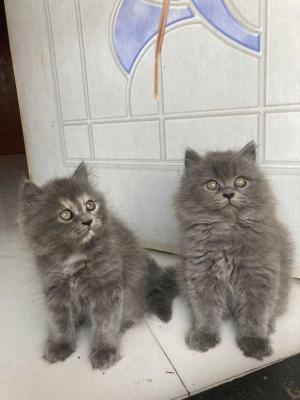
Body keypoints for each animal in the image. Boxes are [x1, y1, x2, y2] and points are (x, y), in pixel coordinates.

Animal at [22, 162, 176, 368]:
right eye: (66, 214)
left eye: (90, 205)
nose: (88, 221)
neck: (75, 254)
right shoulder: (55, 288)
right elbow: (59, 322)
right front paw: (60, 345)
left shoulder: (107, 288)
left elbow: (105, 322)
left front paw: (105, 351)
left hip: (130, 298)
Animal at [175, 142, 292, 360]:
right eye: (212, 185)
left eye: (240, 181)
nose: (229, 193)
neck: (227, 230)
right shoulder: (201, 273)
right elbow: (205, 309)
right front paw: (204, 334)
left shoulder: (259, 275)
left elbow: (256, 313)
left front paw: (254, 341)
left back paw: (269, 326)